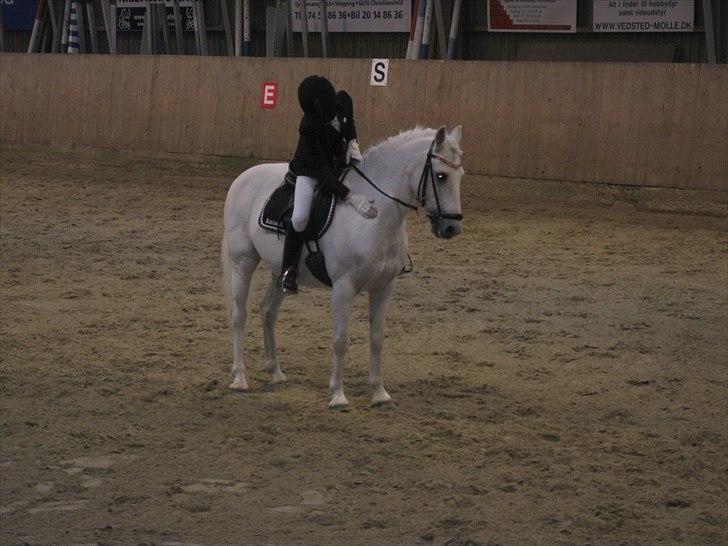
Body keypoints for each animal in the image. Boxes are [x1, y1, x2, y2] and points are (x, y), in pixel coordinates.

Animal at [221, 125, 464, 409]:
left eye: (460, 175)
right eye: (441, 176)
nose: (451, 228)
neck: (373, 218)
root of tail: (243, 177)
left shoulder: (384, 287)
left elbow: (377, 338)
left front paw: (379, 393)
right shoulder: (343, 287)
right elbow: (340, 340)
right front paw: (338, 395)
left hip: (279, 271)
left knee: (268, 311)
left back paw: (276, 373)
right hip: (243, 261)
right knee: (239, 315)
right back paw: (240, 378)